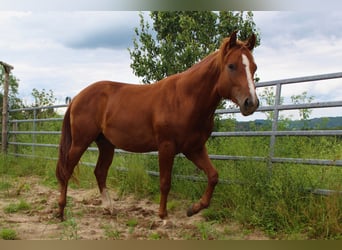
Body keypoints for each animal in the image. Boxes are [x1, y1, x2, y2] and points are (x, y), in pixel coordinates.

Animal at [56, 31, 260, 221]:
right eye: (231, 66)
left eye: (254, 67)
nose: (251, 103)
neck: (184, 99)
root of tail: (77, 98)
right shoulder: (166, 147)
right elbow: (165, 182)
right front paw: (162, 215)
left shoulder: (194, 148)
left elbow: (213, 176)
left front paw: (194, 209)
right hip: (80, 142)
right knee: (66, 171)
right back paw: (60, 211)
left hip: (106, 144)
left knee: (99, 172)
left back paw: (109, 208)